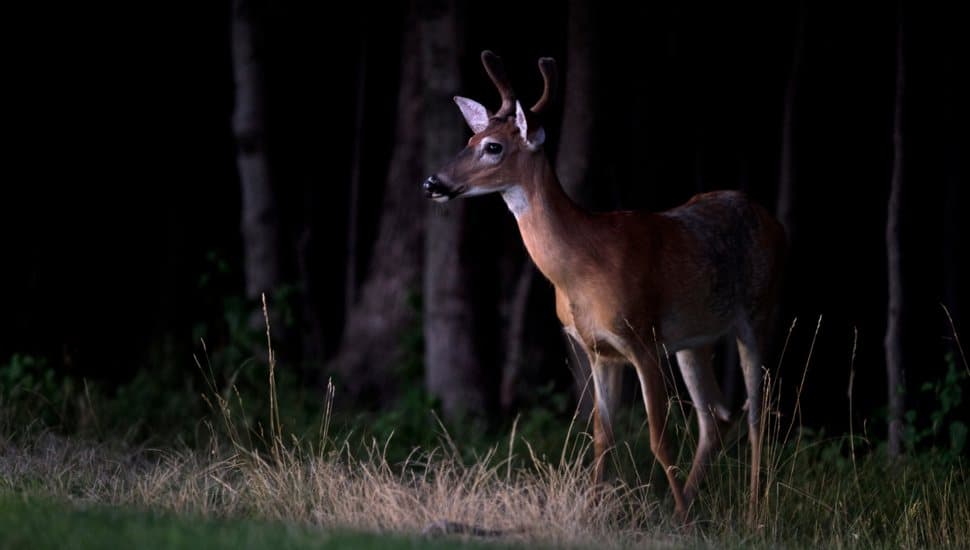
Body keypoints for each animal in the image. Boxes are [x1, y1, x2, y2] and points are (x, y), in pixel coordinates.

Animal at [422, 50, 786, 521]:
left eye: (493, 147)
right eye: (470, 140)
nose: (433, 183)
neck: (581, 269)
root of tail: (773, 221)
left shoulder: (642, 338)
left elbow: (657, 438)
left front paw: (674, 515)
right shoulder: (597, 350)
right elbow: (602, 437)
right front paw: (597, 512)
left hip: (759, 311)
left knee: (758, 413)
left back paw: (754, 512)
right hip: (694, 339)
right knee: (717, 417)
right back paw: (689, 509)